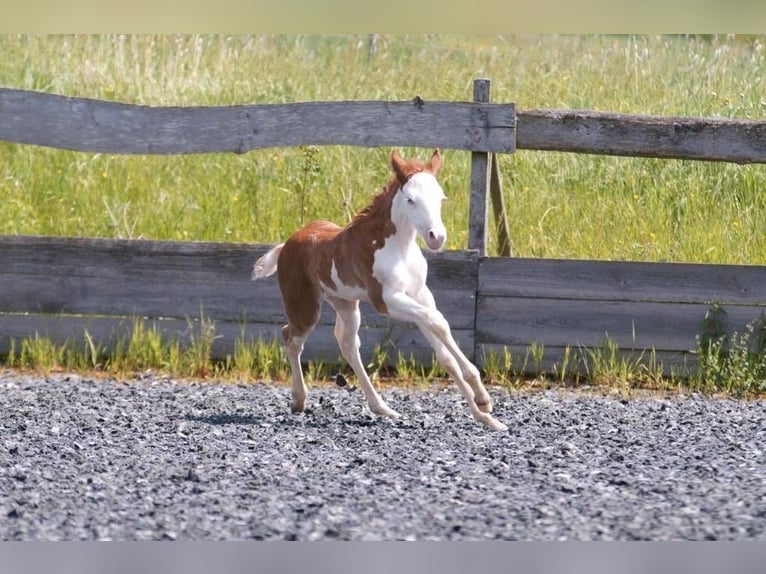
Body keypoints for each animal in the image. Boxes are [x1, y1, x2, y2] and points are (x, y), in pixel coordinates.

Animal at [252, 148, 510, 432]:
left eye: (441, 198)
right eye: (411, 199)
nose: (437, 237)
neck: (398, 247)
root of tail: (286, 245)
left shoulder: (420, 294)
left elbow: (444, 351)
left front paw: (485, 413)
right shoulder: (385, 300)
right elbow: (438, 321)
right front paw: (482, 398)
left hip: (346, 304)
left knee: (347, 344)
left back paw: (382, 408)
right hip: (305, 307)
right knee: (290, 337)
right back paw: (299, 399)